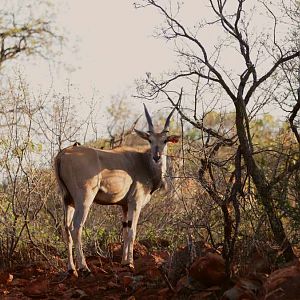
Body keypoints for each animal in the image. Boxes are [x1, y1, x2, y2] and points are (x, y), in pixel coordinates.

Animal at [54, 105, 179, 276]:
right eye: (150, 140)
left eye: (165, 140)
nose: (157, 156)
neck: (143, 162)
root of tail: (62, 155)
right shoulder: (135, 203)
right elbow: (132, 232)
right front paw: (130, 263)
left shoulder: (124, 206)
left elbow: (125, 230)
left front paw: (124, 262)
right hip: (84, 199)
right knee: (76, 227)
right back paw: (84, 267)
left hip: (67, 201)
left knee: (65, 228)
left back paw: (71, 269)